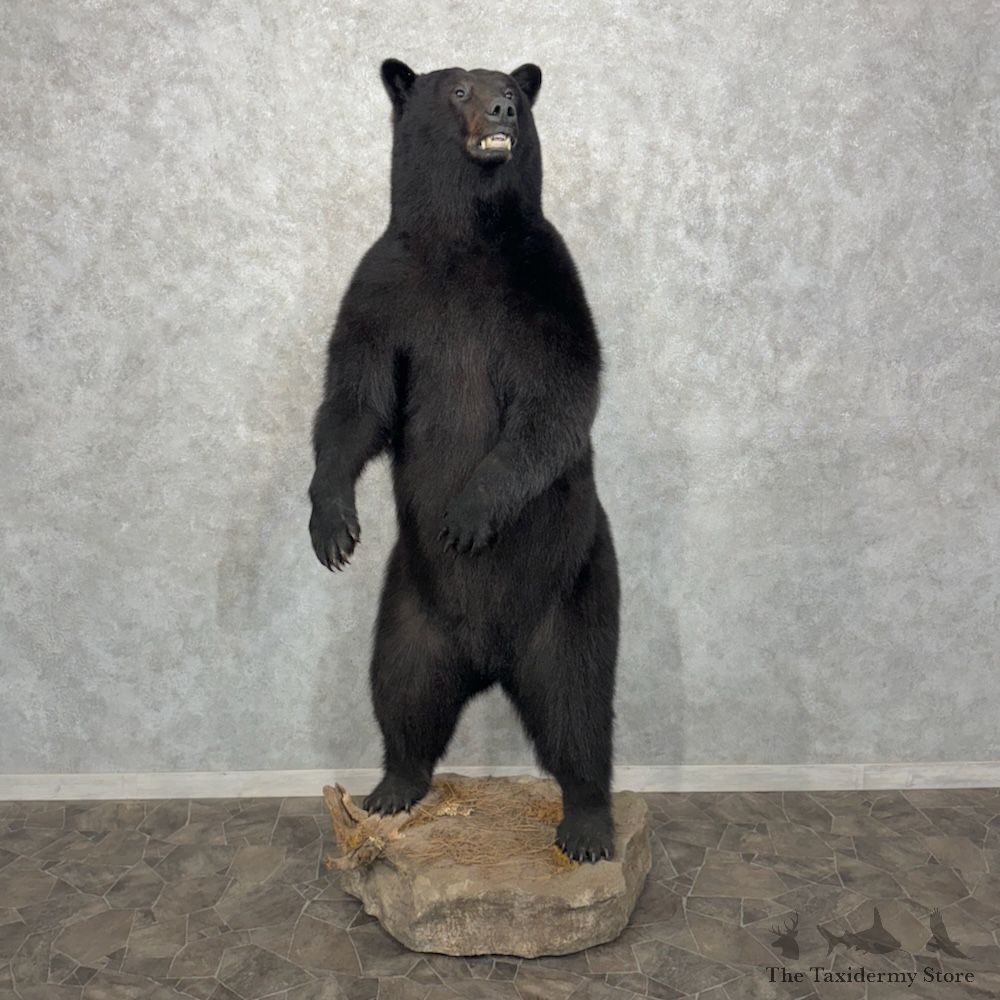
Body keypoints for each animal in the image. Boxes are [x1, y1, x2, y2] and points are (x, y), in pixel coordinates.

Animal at [308, 58, 620, 862]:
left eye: (509, 86)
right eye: (457, 88)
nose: (504, 108)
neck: (465, 237)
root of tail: (493, 660)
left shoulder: (543, 279)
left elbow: (558, 395)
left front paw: (470, 514)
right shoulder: (384, 286)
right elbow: (356, 398)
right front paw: (332, 525)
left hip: (572, 595)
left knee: (580, 710)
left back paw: (587, 824)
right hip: (409, 611)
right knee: (401, 693)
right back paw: (391, 789)